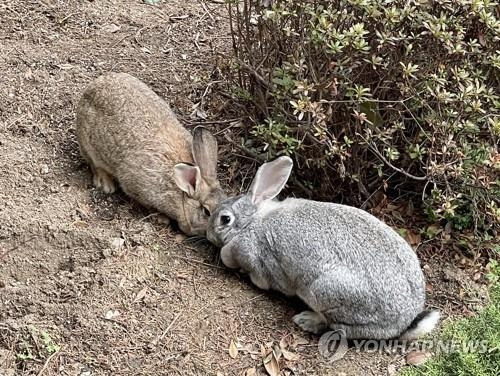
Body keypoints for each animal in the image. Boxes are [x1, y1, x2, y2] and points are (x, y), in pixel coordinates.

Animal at [75, 72, 226, 235]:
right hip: (89, 146)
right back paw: (106, 185)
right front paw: (162, 218)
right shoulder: (138, 187)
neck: (181, 194)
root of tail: (93, 86)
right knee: (95, 165)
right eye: (206, 212)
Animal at [206, 157, 438, 340]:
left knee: (339, 328)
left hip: (324, 292)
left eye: (225, 219)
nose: (208, 234)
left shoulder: (256, 257)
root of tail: (404, 322)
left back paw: (307, 320)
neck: (252, 220)